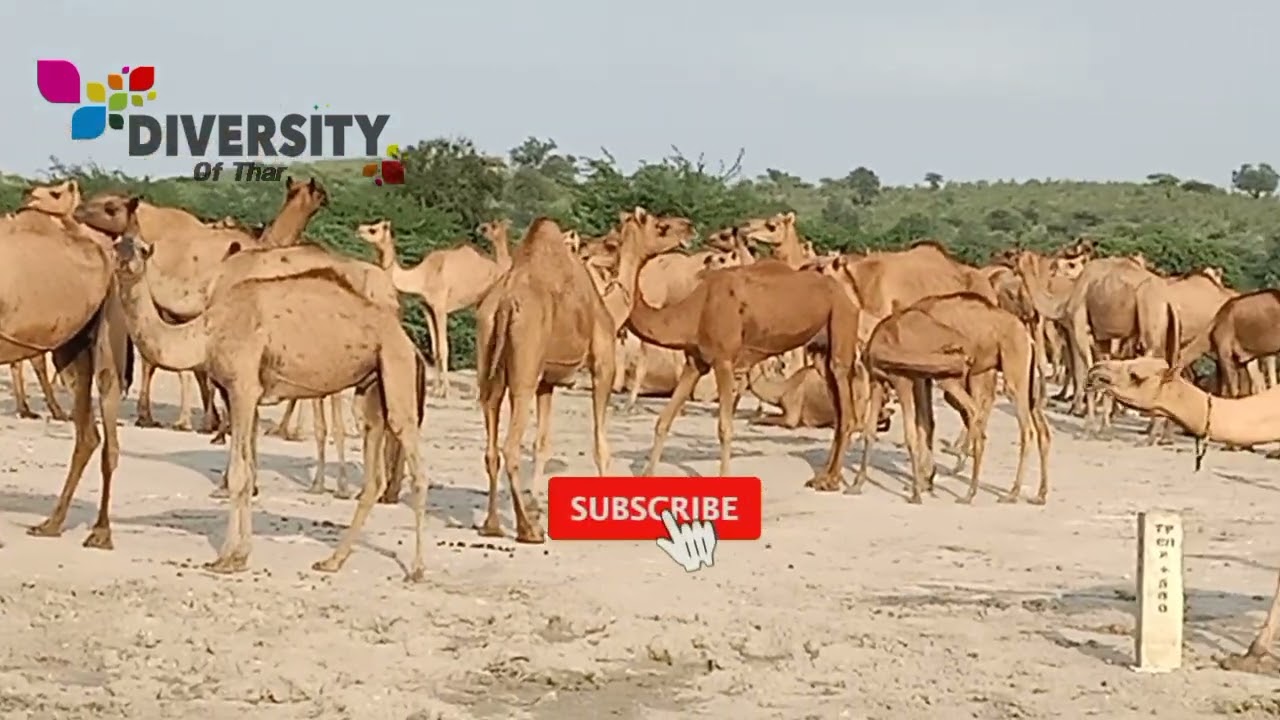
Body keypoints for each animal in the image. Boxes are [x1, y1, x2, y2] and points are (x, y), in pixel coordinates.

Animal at [0, 179, 131, 549]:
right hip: (70, 347)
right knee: (88, 434)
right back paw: (51, 524)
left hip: (109, 318)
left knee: (107, 418)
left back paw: (100, 532)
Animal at [109, 201, 430, 576]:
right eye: (117, 245)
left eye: (143, 250)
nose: (125, 262)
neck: (206, 331)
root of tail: (407, 340)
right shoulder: (243, 393)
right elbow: (247, 473)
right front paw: (238, 555)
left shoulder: (243, 389)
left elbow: (238, 474)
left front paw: (226, 559)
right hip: (371, 388)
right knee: (372, 476)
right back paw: (332, 560)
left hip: (396, 369)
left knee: (417, 467)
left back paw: (417, 569)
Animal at [353, 218, 512, 398]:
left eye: (373, 229)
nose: (358, 230)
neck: (422, 277)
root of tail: (500, 268)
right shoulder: (427, 308)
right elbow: (435, 349)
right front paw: (436, 389)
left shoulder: (440, 307)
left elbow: (443, 348)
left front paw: (445, 391)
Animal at [475, 209, 695, 542]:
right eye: (662, 225)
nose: (690, 228)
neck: (611, 307)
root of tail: (504, 303)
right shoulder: (603, 363)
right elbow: (601, 445)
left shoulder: (547, 381)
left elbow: (542, 446)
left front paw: (536, 505)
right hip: (524, 367)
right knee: (510, 447)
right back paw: (528, 531)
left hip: (489, 358)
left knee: (491, 440)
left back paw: (493, 524)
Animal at [625, 257, 862, 488]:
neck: (698, 309)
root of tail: (849, 299)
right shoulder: (695, 362)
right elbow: (664, 419)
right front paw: (647, 475)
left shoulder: (723, 361)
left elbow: (724, 427)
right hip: (822, 351)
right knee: (838, 411)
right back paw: (823, 477)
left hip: (841, 326)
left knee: (846, 409)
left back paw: (831, 481)